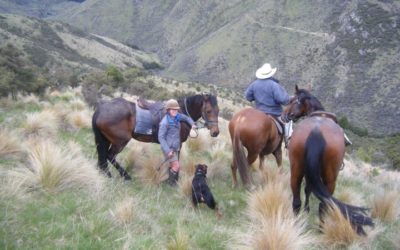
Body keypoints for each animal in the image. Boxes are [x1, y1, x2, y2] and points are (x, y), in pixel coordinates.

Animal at [92, 94, 220, 180]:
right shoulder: (177, 144)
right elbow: (175, 161)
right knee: (110, 156)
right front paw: (173, 179)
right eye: (208, 111)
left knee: (104, 157)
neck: (180, 114)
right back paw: (125, 176)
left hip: (106, 140)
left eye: (218, 111)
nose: (216, 132)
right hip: (120, 141)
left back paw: (106, 173)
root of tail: (101, 109)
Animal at [282, 85, 374, 234]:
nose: (284, 115)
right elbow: (309, 190)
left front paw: (306, 209)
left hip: (296, 170)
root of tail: (316, 131)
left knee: (296, 201)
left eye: (291, 100)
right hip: (330, 178)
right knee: (324, 204)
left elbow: (307, 189)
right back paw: (321, 228)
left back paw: (296, 224)